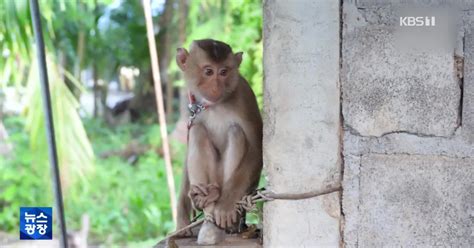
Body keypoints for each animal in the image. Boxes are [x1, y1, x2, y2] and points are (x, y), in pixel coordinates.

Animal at [174, 39, 262, 244]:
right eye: (208, 72)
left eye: (223, 72)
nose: (216, 87)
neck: (213, 104)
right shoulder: (192, 107)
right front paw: (182, 216)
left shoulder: (245, 96)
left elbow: (256, 148)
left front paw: (226, 205)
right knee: (197, 131)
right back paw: (205, 203)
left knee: (236, 132)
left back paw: (223, 219)